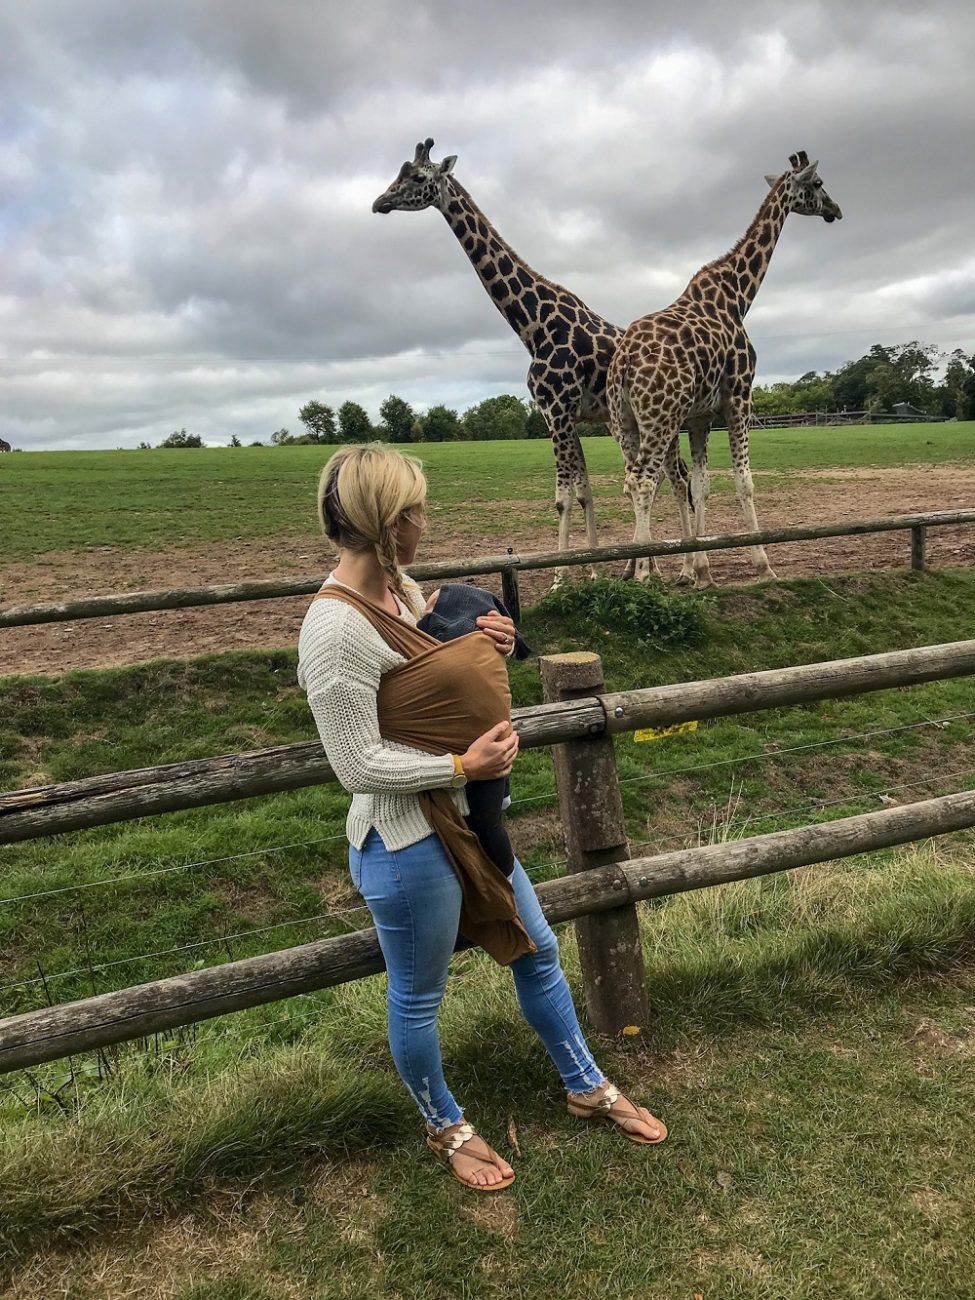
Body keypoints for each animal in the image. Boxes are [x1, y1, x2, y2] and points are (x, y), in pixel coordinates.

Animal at [369, 135, 696, 579]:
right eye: (398, 172)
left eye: (418, 177)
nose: (379, 202)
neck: (533, 326)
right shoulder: (557, 414)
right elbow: (584, 491)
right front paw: (592, 569)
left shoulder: (558, 411)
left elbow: (563, 496)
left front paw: (561, 578)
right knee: (662, 477)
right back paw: (645, 567)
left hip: (657, 419)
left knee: (676, 477)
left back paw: (687, 569)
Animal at [608, 154, 842, 592]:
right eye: (818, 183)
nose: (836, 210)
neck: (738, 296)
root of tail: (624, 362)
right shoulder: (739, 396)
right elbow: (743, 481)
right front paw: (763, 566)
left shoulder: (699, 416)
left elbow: (701, 486)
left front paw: (701, 572)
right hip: (660, 418)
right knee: (643, 479)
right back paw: (645, 574)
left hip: (627, 421)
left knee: (634, 479)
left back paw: (642, 569)